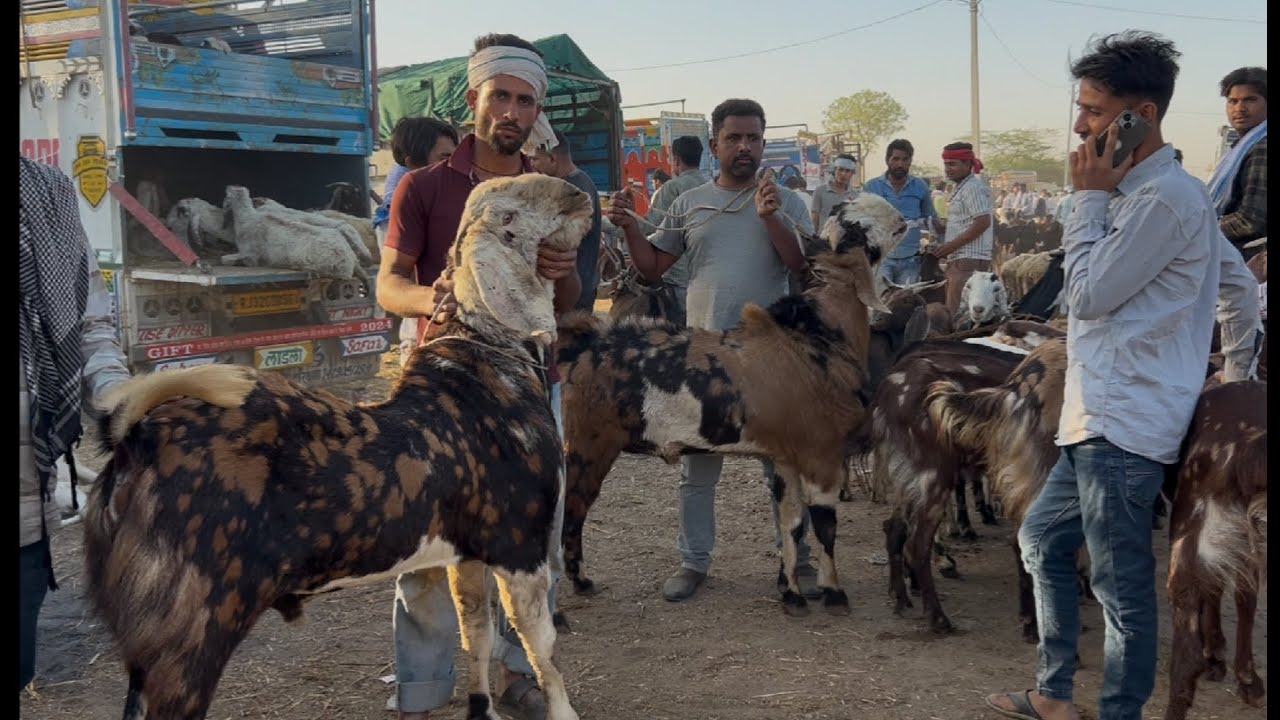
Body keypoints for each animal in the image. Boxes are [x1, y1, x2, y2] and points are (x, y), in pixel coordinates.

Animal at [82, 174, 594, 720]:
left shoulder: (466, 551)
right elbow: (541, 645)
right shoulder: (521, 546)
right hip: (187, 626)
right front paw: (561, 709)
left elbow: (475, 631)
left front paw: (482, 709)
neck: (489, 364)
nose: (580, 193)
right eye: (511, 213)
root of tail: (134, 441)